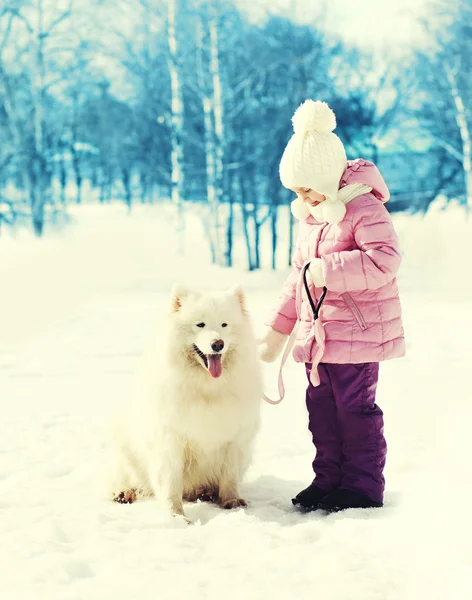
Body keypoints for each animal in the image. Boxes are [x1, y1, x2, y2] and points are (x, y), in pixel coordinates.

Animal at [106, 282, 262, 520]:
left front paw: (232, 502)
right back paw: (123, 492)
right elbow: (170, 482)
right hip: (126, 447)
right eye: (200, 324)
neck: (207, 389)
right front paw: (176, 516)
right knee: (124, 476)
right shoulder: (170, 440)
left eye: (224, 324)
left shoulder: (234, 439)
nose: (218, 344)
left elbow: (230, 476)